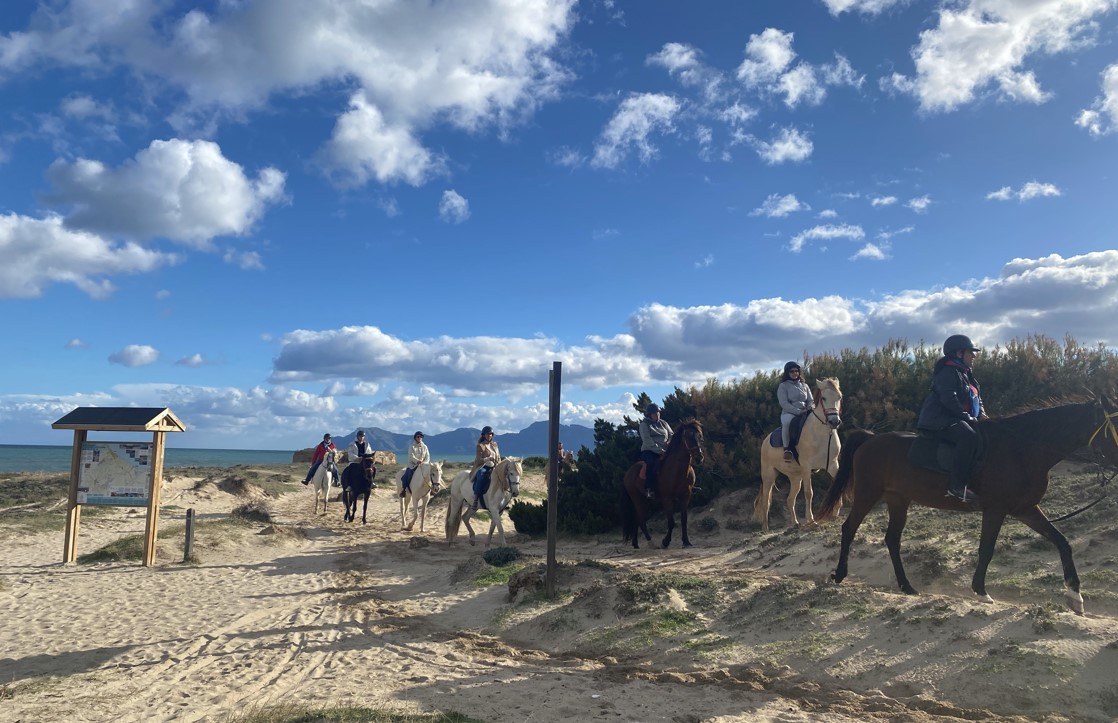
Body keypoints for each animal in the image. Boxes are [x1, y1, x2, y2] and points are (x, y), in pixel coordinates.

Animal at [617, 417, 702, 549]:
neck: (677, 470)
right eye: (688, 436)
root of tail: (628, 473)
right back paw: (651, 543)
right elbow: (671, 522)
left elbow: (684, 520)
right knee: (641, 520)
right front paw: (665, 542)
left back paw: (635, 544)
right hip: (637, 498)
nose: (699, 458)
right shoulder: (667, 498)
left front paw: (686, 542)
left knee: (637, 519)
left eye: (699, 436)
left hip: (645, 501)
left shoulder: (685, 496)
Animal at [755, 379, 840, 531]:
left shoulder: (832, 464)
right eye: (824, 398)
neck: (821, 434)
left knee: (790, 499)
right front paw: (811, 520)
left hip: (795, 478)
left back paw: (795, 523)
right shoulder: (807, 467)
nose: (834, 422)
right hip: (769, 476)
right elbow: (809, 493)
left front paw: (835, 513)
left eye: (839, 397)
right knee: (766, 501)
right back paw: (765, 529)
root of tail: (765, 440)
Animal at [818, 397, 1118, 612]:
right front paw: (981, 591)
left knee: (892, 539)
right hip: (868, 494)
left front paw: (1075, 596)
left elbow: (1062, 542)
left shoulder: (1025, 510)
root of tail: (871, 438)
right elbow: (986, 549)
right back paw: (840, 575)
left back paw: (906, 586)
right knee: (849, 529)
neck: (1023, 449)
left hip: (898, 499)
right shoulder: (996, 510)